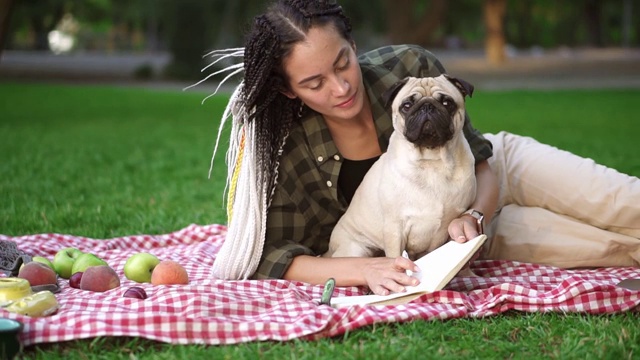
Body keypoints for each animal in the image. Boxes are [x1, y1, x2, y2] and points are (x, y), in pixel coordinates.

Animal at [324, 74, 476, 262]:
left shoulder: (442, 230)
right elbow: (395, 256)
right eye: (407, 105)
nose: (427, 106)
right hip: (356, 250)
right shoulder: (394, 228)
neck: (431, 161)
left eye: (447, 103)